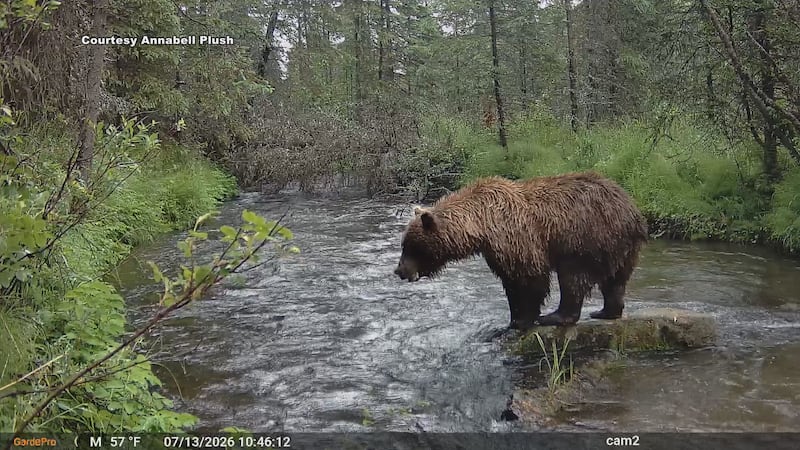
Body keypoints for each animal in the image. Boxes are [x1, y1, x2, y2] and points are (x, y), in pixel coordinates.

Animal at [393, 171, 648, 328]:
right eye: (404, 244)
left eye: (411, 247)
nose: (399, 271)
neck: (481, 225)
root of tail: (633, 212)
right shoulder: (496, 251)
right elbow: (510, 281)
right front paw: (513, 318)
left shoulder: (517, 238)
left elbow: (529, 277)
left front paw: (524, 319)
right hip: (621, 249)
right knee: (615, 281)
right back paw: (606, 311)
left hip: (584, 238)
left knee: (573, 278)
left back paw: (556, 316)